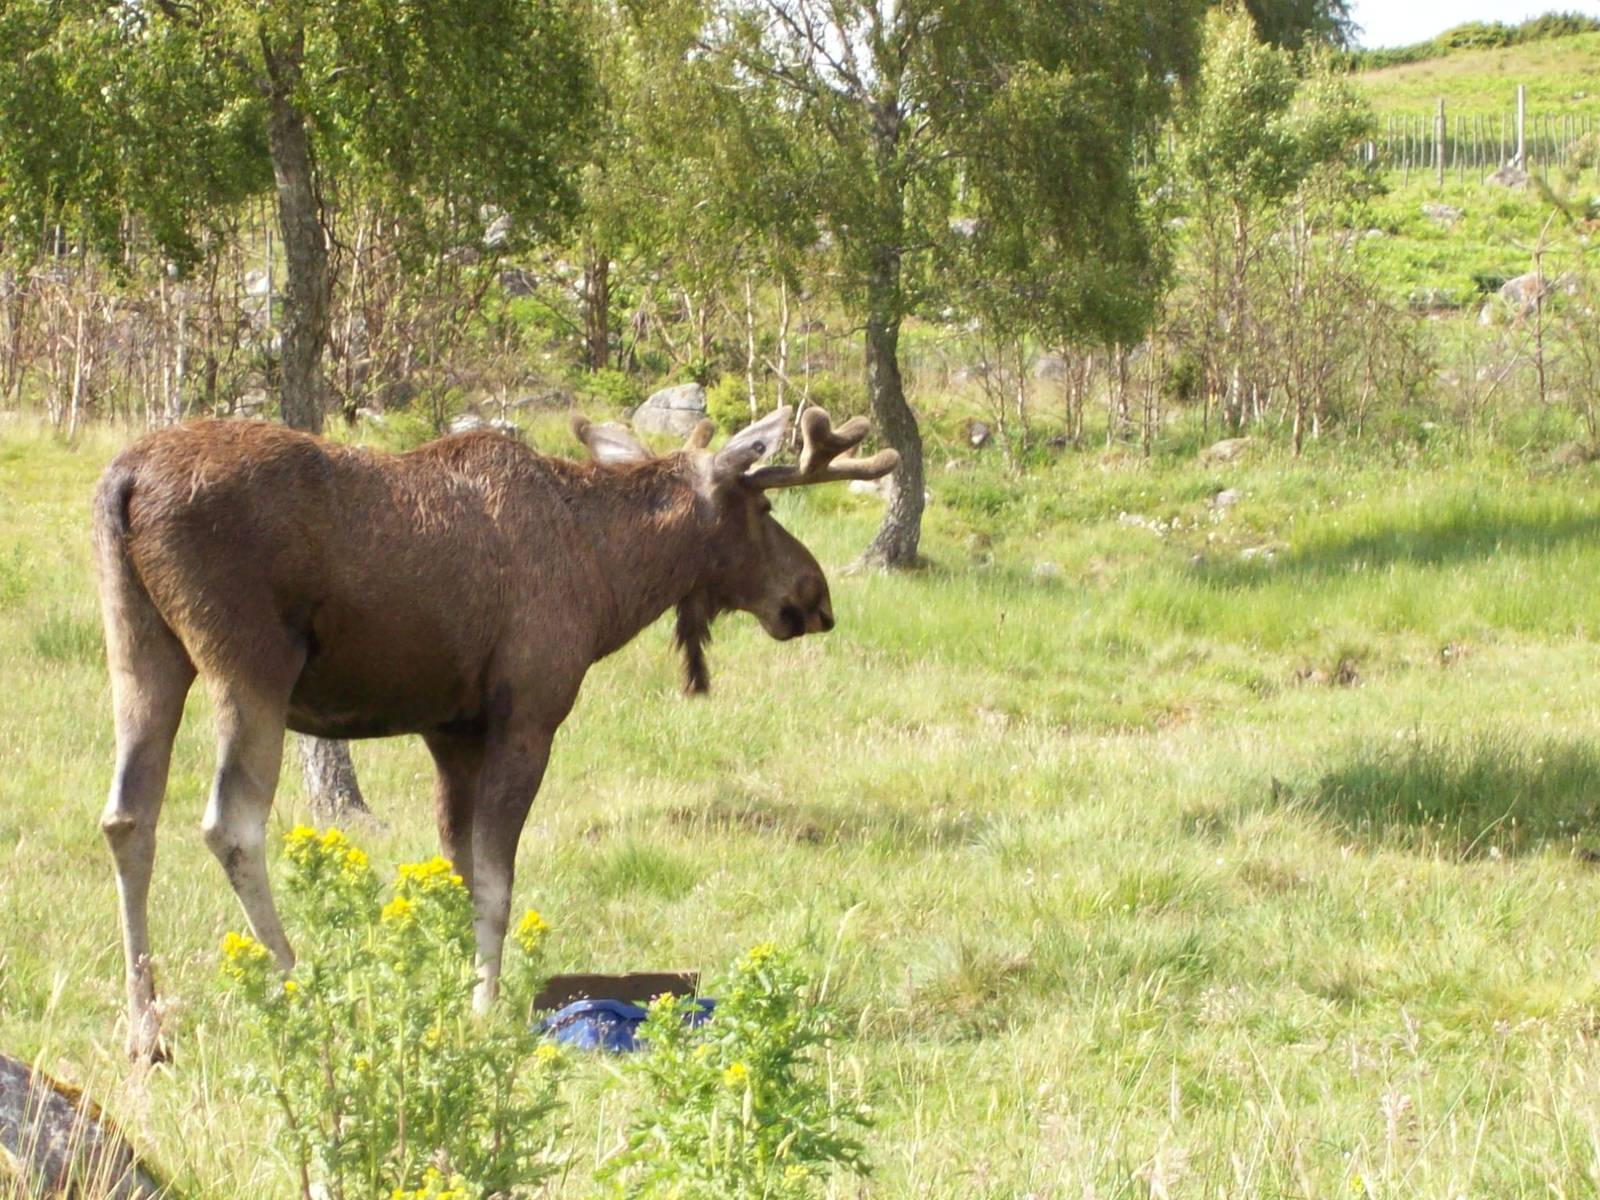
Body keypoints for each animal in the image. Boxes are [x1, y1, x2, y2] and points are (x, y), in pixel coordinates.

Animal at [92, 405, 896, 1061]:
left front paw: (452, 990)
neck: (610, 579)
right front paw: (485, 1006)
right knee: (229, 824)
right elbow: (494, 880)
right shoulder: (528, 713)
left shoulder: (452, 730)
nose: (815, 597)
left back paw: (145, 1028)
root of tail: (123, 482)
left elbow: (453, 867)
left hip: (140, 648)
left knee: (128, 816)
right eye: (763, 504)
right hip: (251, 661)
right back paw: (296, 988)